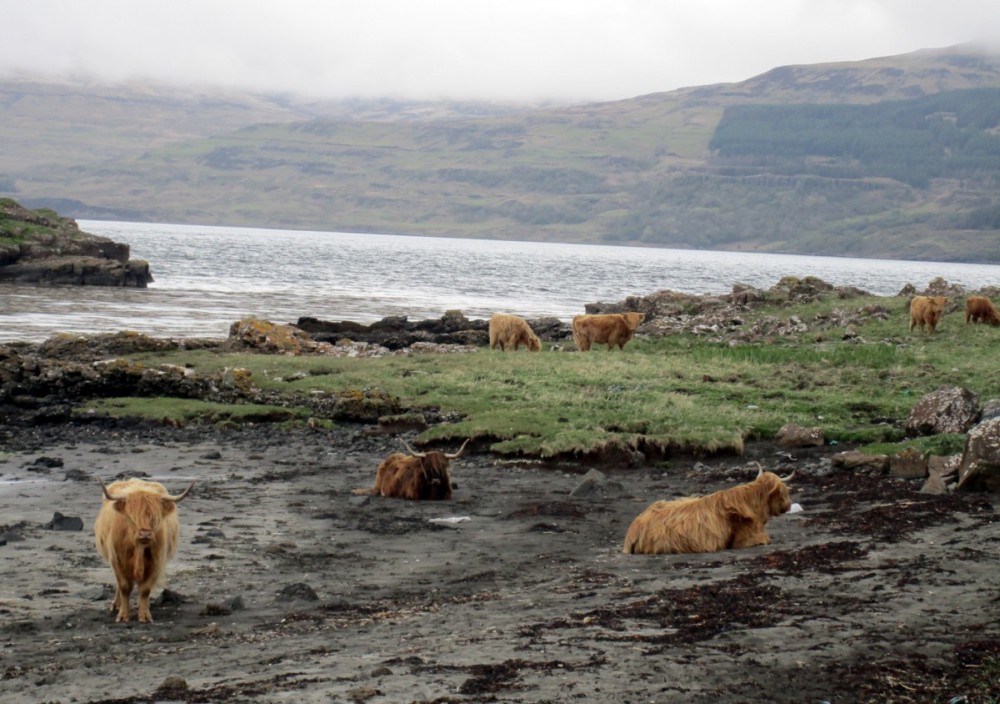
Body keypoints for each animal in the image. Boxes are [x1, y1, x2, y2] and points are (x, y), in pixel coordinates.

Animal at [94, 478, 194, 620]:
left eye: (155, 518)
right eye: (131, 517)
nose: (145, 534)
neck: (138, 550)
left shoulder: (156, 562)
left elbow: (145, 589)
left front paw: (144, 615)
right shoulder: (117, 560)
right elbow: (124, 587)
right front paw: (123, 615)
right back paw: (116, 605)